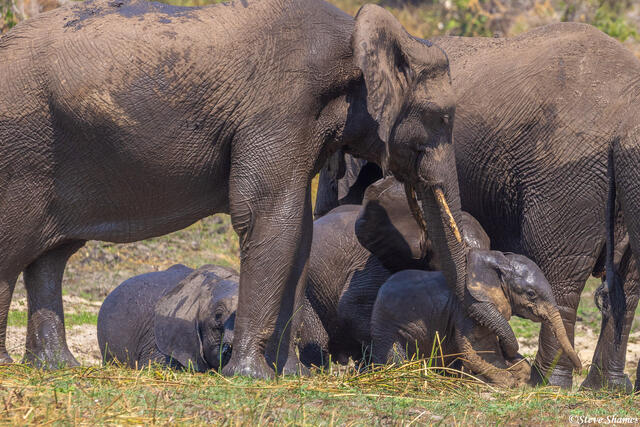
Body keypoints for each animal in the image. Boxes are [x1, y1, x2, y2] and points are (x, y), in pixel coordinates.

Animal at [370, 250, 582, 387]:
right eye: (531, 294)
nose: (580, 369)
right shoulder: (469, 310)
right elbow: (477, 351)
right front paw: (502, 380)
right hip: (385, 325)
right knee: (395, 356)